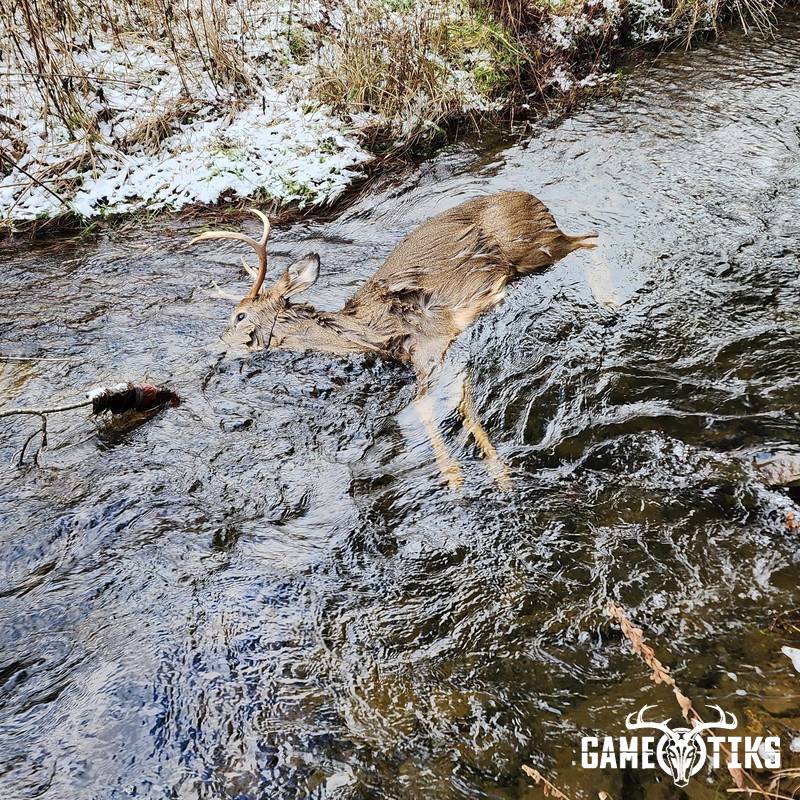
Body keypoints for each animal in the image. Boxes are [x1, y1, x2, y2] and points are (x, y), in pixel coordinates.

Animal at [192, 192, 596, 489]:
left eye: (239, 316)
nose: (214, 344)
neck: (373, 332)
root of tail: (532, 198)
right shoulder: (441, 348)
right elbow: (462, 402)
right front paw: (497, 473)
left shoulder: (432, 343)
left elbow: (428, 406)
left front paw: (455, 479)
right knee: (589, 241)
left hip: (533, 247)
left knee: (591, 241)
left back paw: (606, 299)